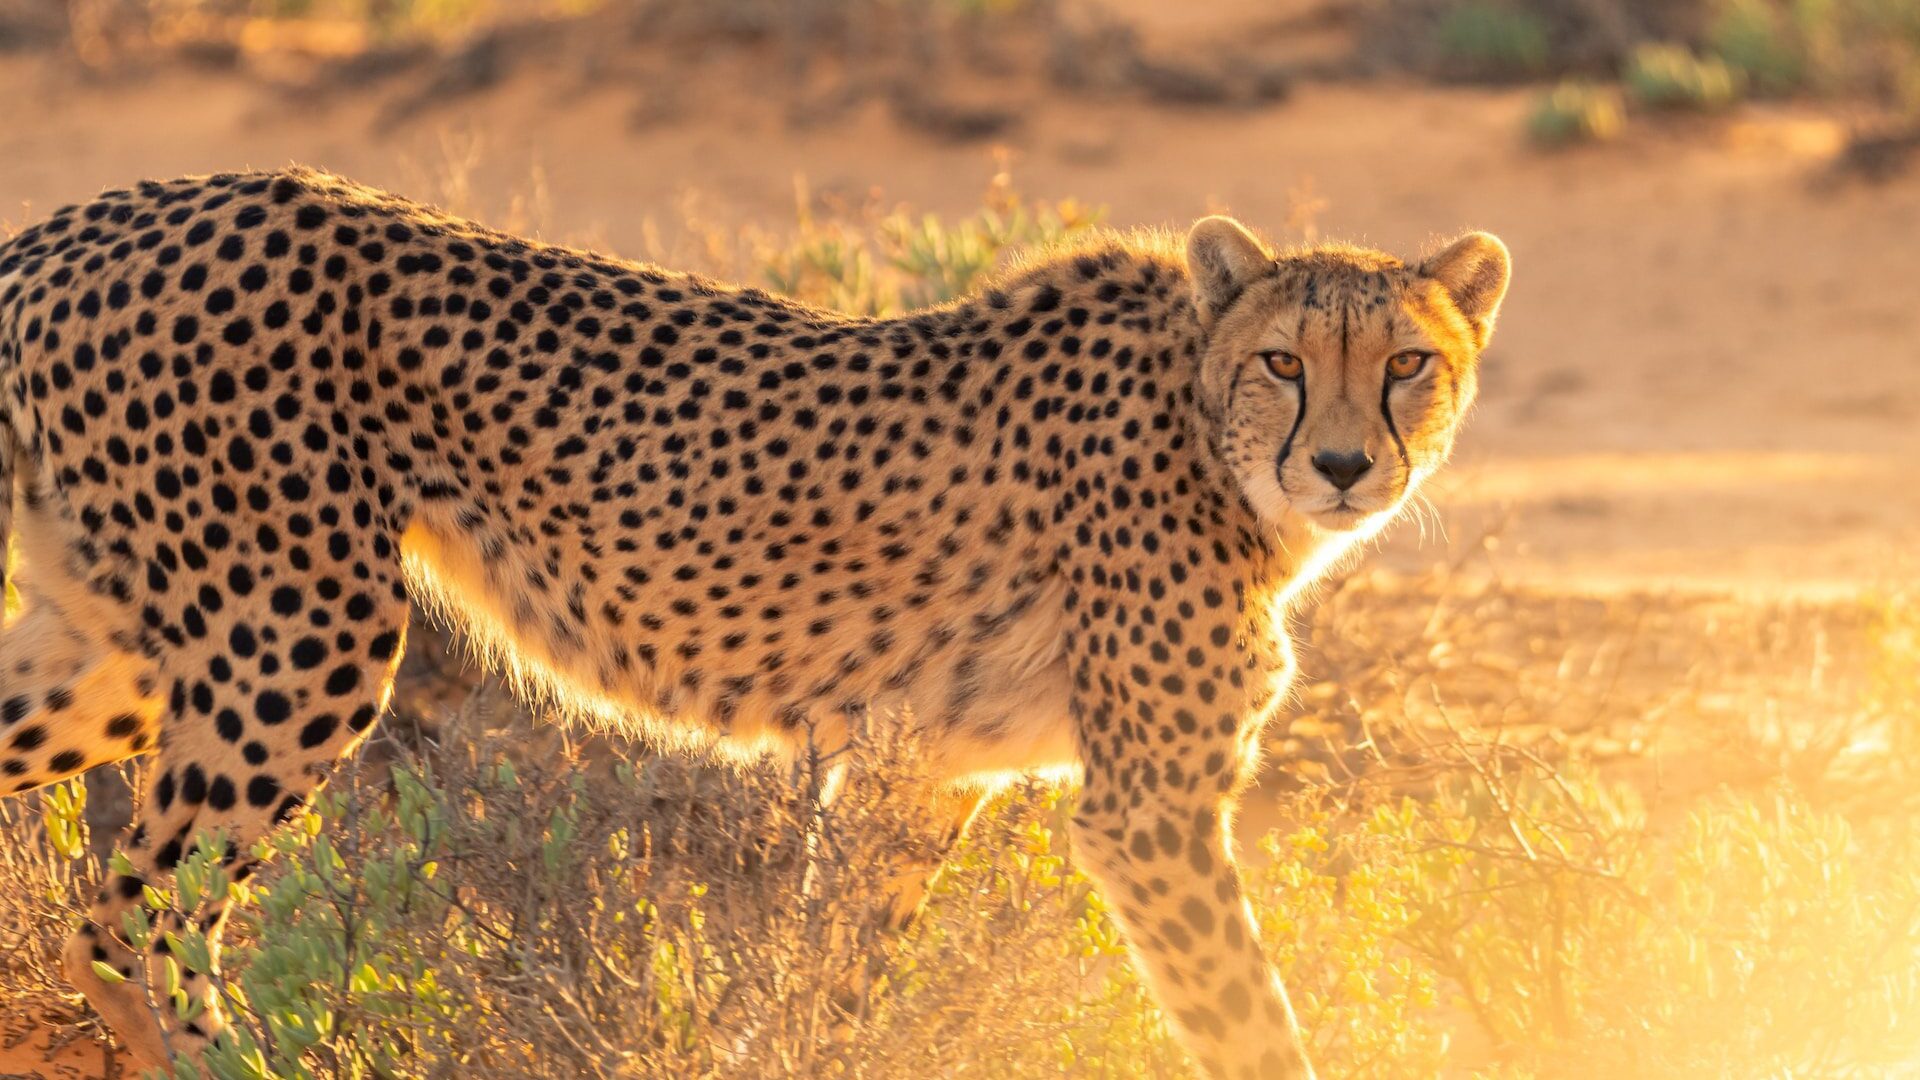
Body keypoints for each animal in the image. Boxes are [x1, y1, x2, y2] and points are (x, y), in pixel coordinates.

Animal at [0, 167, 1509, 1079]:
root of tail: (89, 217)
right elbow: (1247, 1017)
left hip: (123, 651)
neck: (1202, 425)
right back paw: (234, 1055)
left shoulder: (918, 775)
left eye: (1408, 364)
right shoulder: (1148, 812)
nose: (1344, 466)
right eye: (1284, 362)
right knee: (137, 912)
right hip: (301, 634)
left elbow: (834, 975)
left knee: (97, 877)